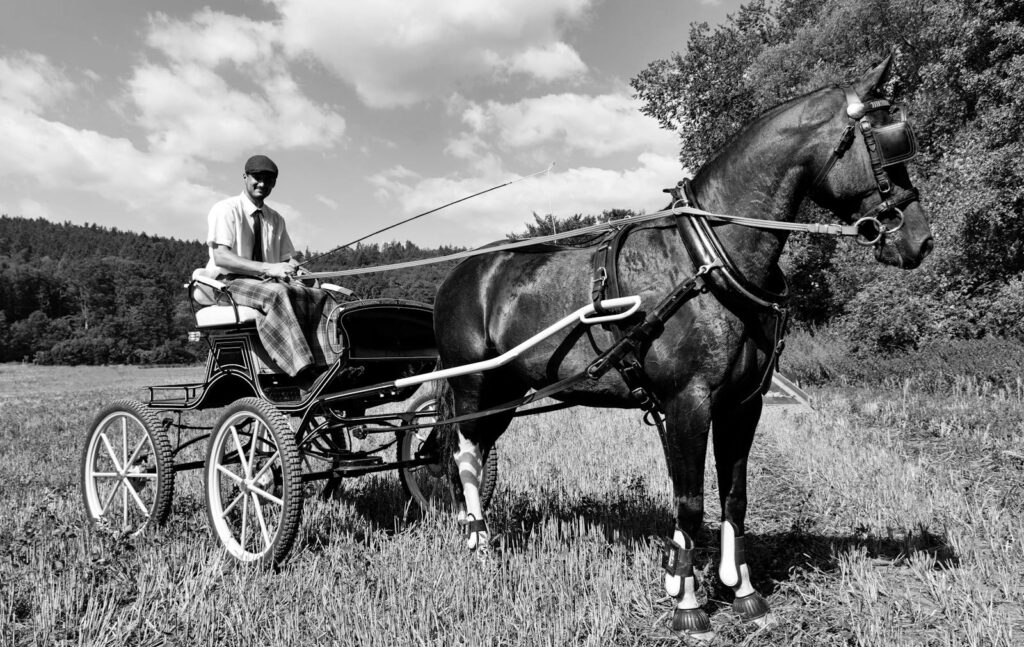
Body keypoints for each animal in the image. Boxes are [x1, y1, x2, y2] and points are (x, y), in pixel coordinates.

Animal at [432, 56, 933, 638]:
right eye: (887, 141)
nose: (920, 241)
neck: (708, 259)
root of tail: (460, 273)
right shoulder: (687, 400)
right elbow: (690, 501)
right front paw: (686, 598)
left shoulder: (742, 403)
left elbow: (734, 495)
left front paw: (741, 590)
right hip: (474, 383)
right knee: (466, 455)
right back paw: (478, 541)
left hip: (509, 391)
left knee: (474, 450)